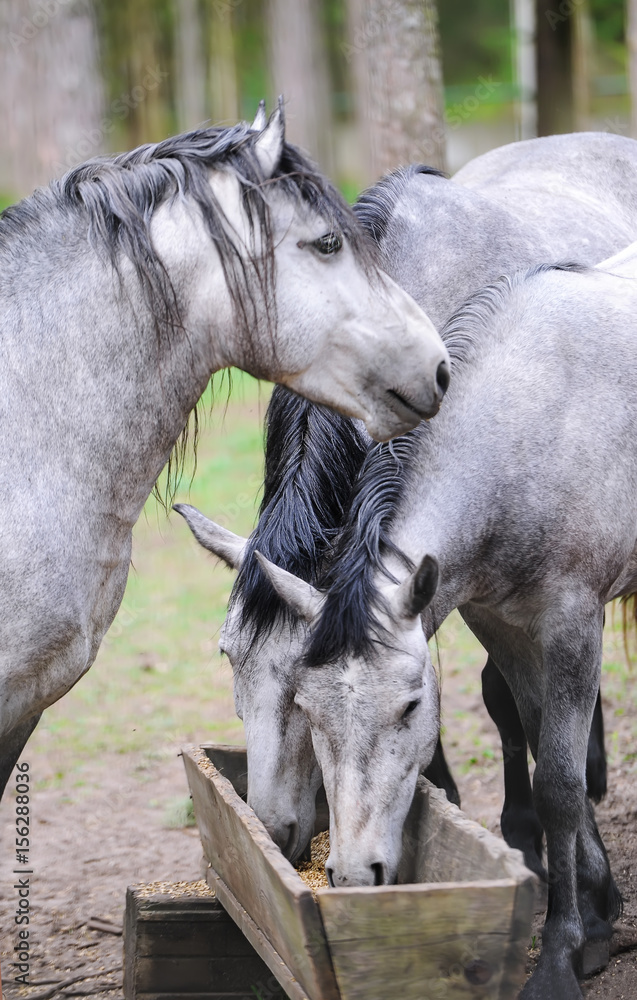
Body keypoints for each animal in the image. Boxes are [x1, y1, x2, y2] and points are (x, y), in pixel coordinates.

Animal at [257, 249, 637, 999]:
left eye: (410, 708)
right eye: (308, 711)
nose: (354, 875)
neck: (528, 421)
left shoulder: (573, 626)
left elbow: (559, 783)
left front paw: (560, 954)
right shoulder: (503, 625)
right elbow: (545, 747)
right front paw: (600, 916)